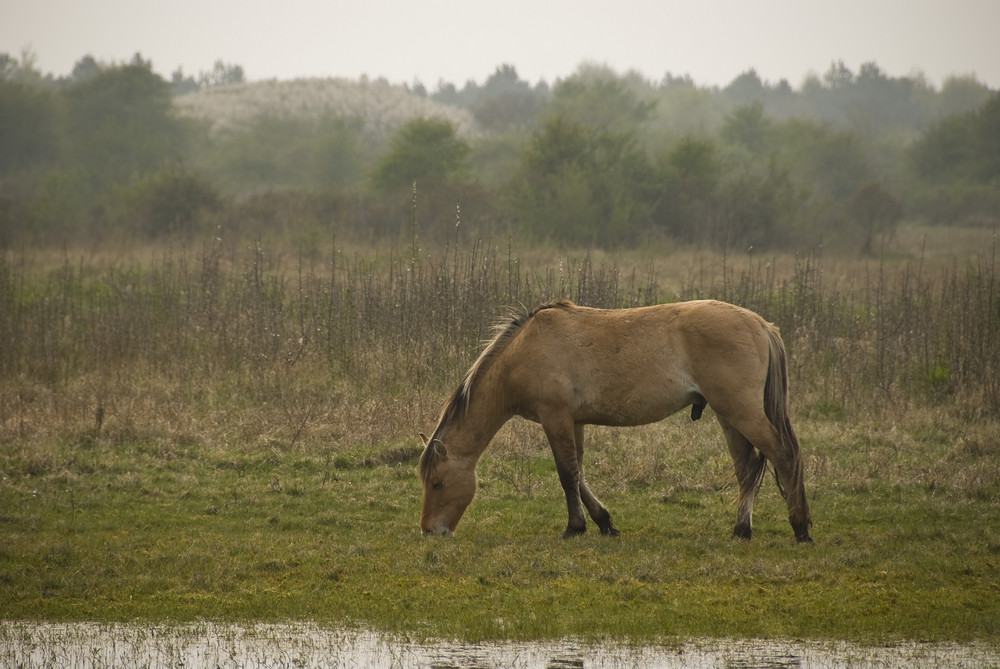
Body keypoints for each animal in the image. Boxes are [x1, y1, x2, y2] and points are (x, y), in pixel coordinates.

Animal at [416, 300, 812, 540]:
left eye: (437, 482)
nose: (430, 531)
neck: (523, 351)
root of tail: (761, 324)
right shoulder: (573, 421)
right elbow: (578, 473)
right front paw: (604, 523)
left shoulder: (554, 416)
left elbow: (567, 474)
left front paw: (575, 527)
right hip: (730, 417)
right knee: (747, 469)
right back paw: (742, 529)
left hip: (741, 412)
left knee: (784, 456)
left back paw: (800, 527)